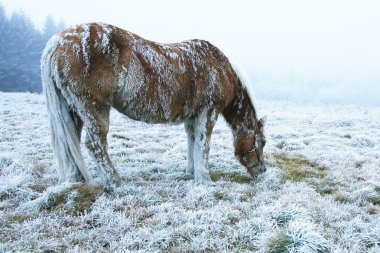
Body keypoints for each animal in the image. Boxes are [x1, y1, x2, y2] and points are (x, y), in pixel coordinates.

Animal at [40, 22, 268, 187]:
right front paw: (204, 179)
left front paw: (191, 171)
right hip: (94, 108)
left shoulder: (192, 117)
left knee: (71, 144)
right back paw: (114, 181)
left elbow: (192, 142)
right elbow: (203, 145)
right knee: (95, 145)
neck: (222, 70)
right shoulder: (208, 112)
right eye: (263, 142)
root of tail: (57, 41)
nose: (262, 171)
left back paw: (76, 180)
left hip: (73, 111)